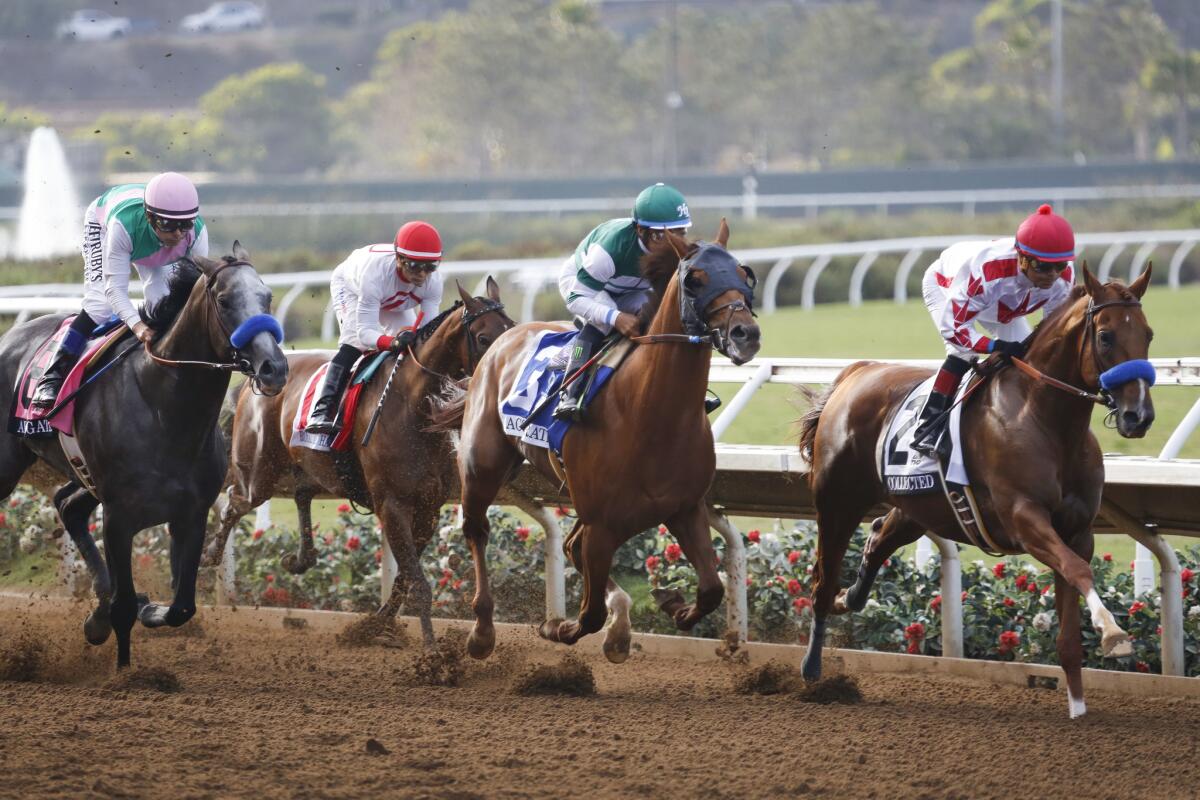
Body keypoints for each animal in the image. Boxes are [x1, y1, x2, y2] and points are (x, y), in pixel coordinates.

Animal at [0, 245, 285, 671]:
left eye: (266, 297)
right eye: (224, 300)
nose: (274, 367)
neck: (166, 410)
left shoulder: (190, 513)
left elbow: (182, 607)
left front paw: (140, 608)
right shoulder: (119, 517)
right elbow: (124, 610)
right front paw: (124, 672)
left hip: (86, 477)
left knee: (68, 505)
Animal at [201, 278, 511, 647]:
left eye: (511, 328)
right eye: (483, 338)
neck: (411, 406)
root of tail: (256, 379)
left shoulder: (429, 507)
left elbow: (405, 579)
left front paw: (376, 626)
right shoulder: (392, 504)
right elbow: (418, 583)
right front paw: (433, 652)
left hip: (306, 464)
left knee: (301, 493)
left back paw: (300, 558)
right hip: (259, 471)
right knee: (234, 501)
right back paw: (210, 555)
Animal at [432, 220, 758, 662]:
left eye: (744, 274)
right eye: (696, 279)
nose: (746, 333)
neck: (653, 413)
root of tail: (504, 339)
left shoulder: (685, 509)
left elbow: (711, 589)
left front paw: (671, 603)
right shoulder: (602, 523)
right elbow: (588, 616)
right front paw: (557, 626)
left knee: (571, 546)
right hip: (482, 466)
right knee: (477, 529)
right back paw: (482, 630)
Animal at [796, 263, 1152, 719]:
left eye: (1148, 334)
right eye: (1106, 336)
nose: (1138, 416)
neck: (1046, 421)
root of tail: (855, 373)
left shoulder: (1077, 531)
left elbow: (1070, 627)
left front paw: (1077, 706)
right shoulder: (1024, 519)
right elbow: (1079, 570)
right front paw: (1112, 633)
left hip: (917, 508)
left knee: (877, 539)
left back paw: (850, 597)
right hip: (837, 503)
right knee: (822, 582)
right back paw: (812, 668)